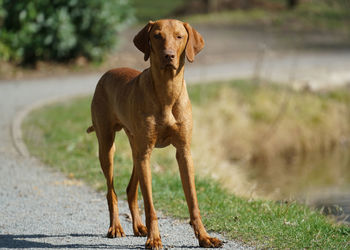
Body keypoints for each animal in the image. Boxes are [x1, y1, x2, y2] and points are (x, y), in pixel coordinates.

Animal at [87, 19, 223, 248]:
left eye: (179, 36)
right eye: (157, 36)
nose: (168, 55)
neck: (167, 91)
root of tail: (106, 74)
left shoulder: (184, 152)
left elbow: (193, 201)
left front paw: (204, 237)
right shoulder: (145, 154)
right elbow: (150, 205)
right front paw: (154, 238)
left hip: (136, 149)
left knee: (130, 190)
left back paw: (138, 226)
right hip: (108, 146)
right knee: (111, 192)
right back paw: (116, 227)